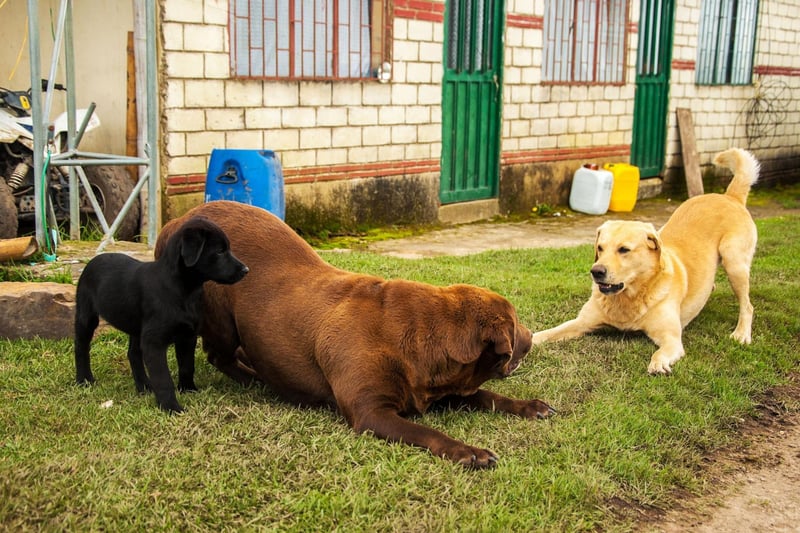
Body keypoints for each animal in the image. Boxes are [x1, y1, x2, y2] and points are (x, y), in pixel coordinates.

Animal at [76, 216, 250, 412]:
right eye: (220, 251)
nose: (246, 270)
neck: (183, 290)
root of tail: (93, 261)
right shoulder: (154, 342)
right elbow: (163, 378)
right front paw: (171, 407)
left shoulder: (187, 336)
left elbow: (187, 366)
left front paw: (189, 389)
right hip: (86, 316)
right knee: (81, 347)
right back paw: (84, 380)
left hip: (137, 327)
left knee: (133, 354)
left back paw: (144, 387)